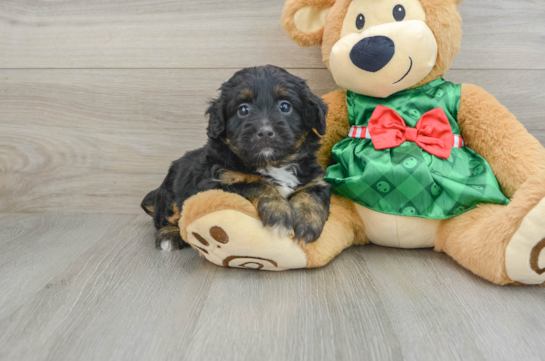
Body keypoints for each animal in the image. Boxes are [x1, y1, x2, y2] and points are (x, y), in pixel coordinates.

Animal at [140, 64, 330, 250]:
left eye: (285, 106)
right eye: (243, 109)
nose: (265, 132)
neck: (271, 163)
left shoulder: (315, 179)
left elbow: (310, 194)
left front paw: (307, 223)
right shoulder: (214, 185)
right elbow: (256, 184)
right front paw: (279, 213)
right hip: (171, 195)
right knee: (167, 218)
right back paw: (169, 235)